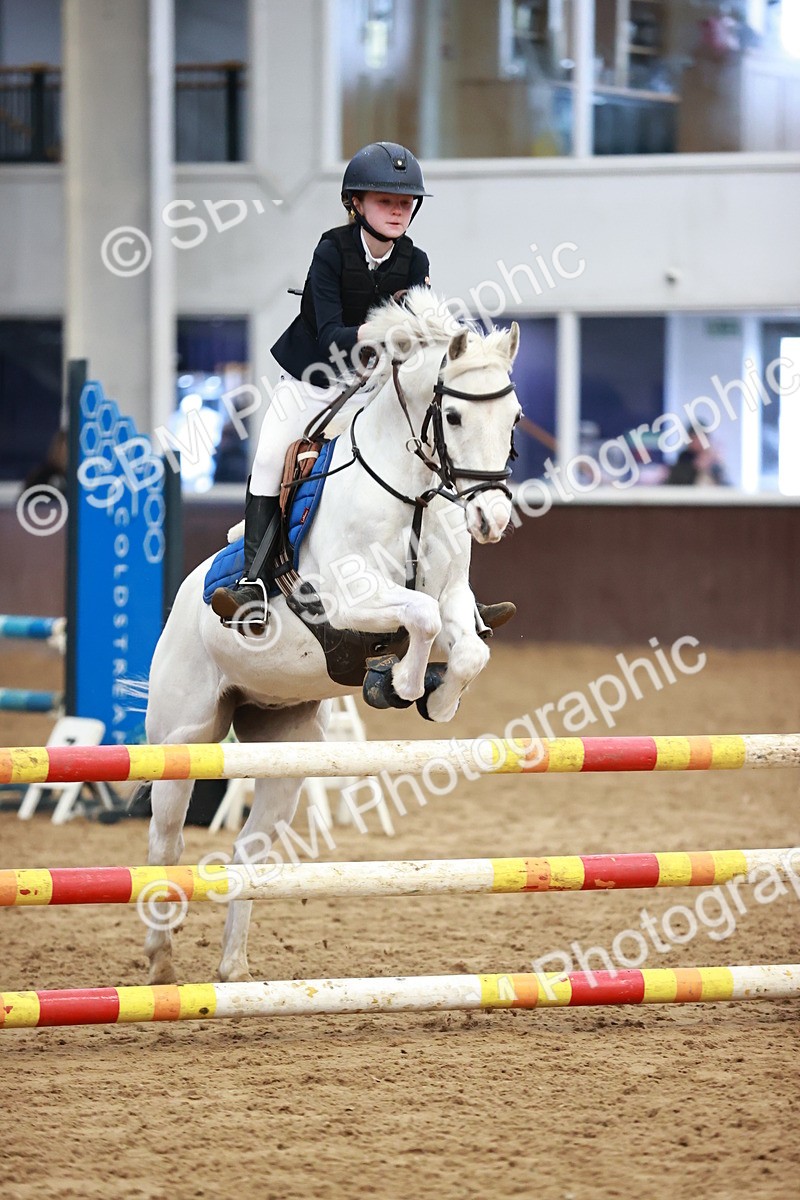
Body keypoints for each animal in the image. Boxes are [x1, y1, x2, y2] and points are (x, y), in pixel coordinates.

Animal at [144, 288, 521, 984]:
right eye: (453, 416)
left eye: (514, 417)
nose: (490, 518)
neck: (412, 495)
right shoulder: (349, 600)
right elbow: (420, 619)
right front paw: (399, 682)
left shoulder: (455, 596)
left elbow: (468, 645)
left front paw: (434, 697)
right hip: (184, 738)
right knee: (167, 842)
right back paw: (159, 964)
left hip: (285, 746)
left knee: (247, 851)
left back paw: (232, 972)